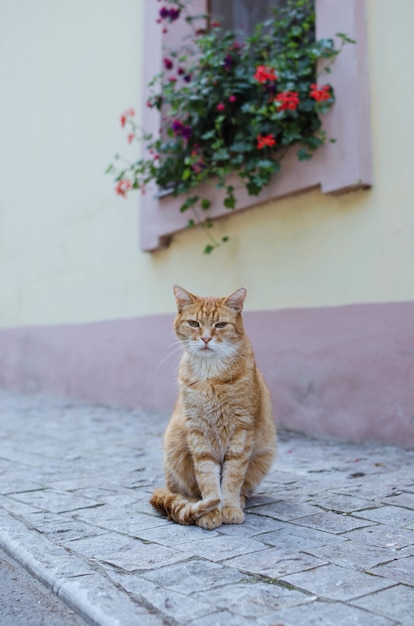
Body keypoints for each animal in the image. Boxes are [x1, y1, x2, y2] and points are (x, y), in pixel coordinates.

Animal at [150, 286, 276, 528]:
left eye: (220, 325)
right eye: (194, 323)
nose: (206, 338)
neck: (211, 377)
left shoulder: (241, 431)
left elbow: (232, 477)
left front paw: (229, 508)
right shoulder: (198, 432)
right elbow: (207, 477)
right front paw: (210, 512)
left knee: (245, 488)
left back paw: (240, 501)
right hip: (175, 448)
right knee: (182, 492)